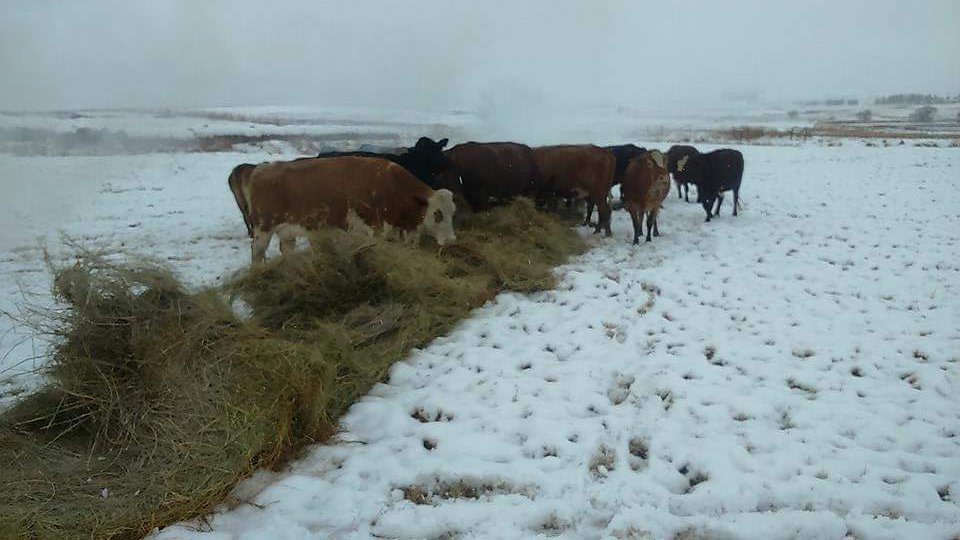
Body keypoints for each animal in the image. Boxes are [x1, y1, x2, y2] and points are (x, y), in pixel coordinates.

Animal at [244, 156, 456, 264]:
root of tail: (260, 169)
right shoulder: (376, 231)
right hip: (263, 230)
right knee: (256, 255)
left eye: (452, 212)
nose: (451, 241)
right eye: (437, 214)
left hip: (287, 232)